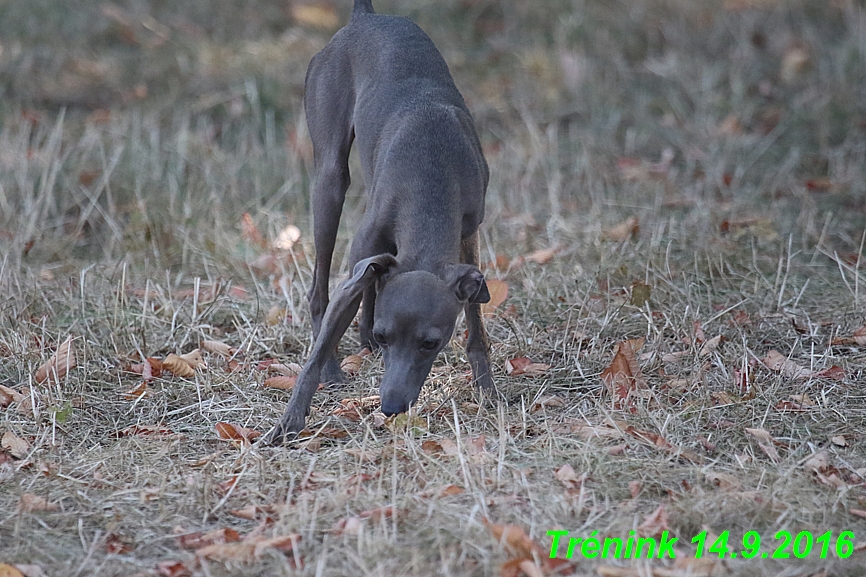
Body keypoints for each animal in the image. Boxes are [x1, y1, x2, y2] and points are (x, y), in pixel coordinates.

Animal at [264, 0, 492, 446]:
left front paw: (487, 387)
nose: (390, 407)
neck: (432, 174)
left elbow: (475, 319)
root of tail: (365, 17)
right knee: (320, 290)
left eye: (431, 343)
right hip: (330, 182)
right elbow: (326, 333)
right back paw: (337, 366)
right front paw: (290, 419)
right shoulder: (360, 258)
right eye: (389, 338)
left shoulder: (469, 233)